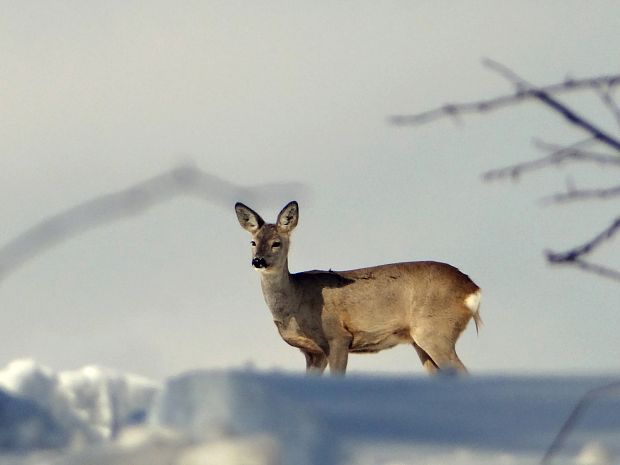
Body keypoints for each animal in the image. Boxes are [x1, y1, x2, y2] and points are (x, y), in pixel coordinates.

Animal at [235, 201, 482, 376]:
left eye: (277, 243)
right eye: (253, 242)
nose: (258, 261)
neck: (295, 301)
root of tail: (473, 290)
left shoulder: (337, 337)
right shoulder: (312, 352)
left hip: (435, 331)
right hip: (421, 341)